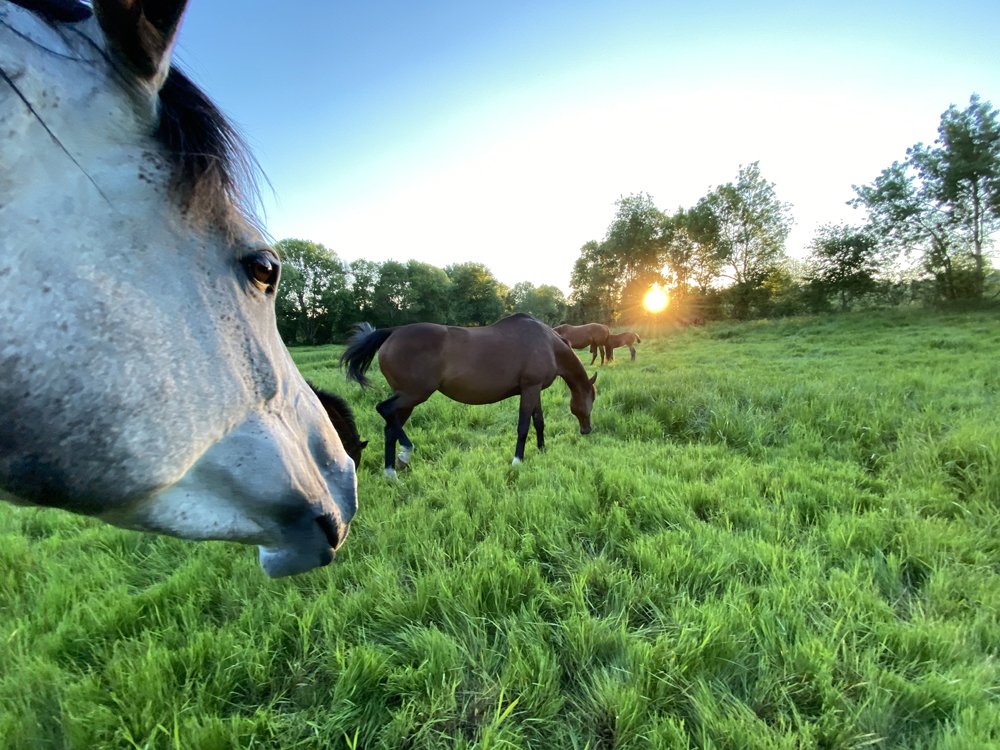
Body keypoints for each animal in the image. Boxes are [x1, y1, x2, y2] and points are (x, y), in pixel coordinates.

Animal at [340, 314, 597, 477]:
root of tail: (393, 332)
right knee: (384, 410)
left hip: (407, 399)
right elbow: (524, 426)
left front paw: (542, 451)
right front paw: (517, 462)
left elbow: (539, 422)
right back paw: (406, 452)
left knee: (390, 427)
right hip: (413, 394)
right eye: (592, 400)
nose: (587, 430)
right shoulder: (530, 388)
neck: (548, 343)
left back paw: (393, 471)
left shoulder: (533, 390)